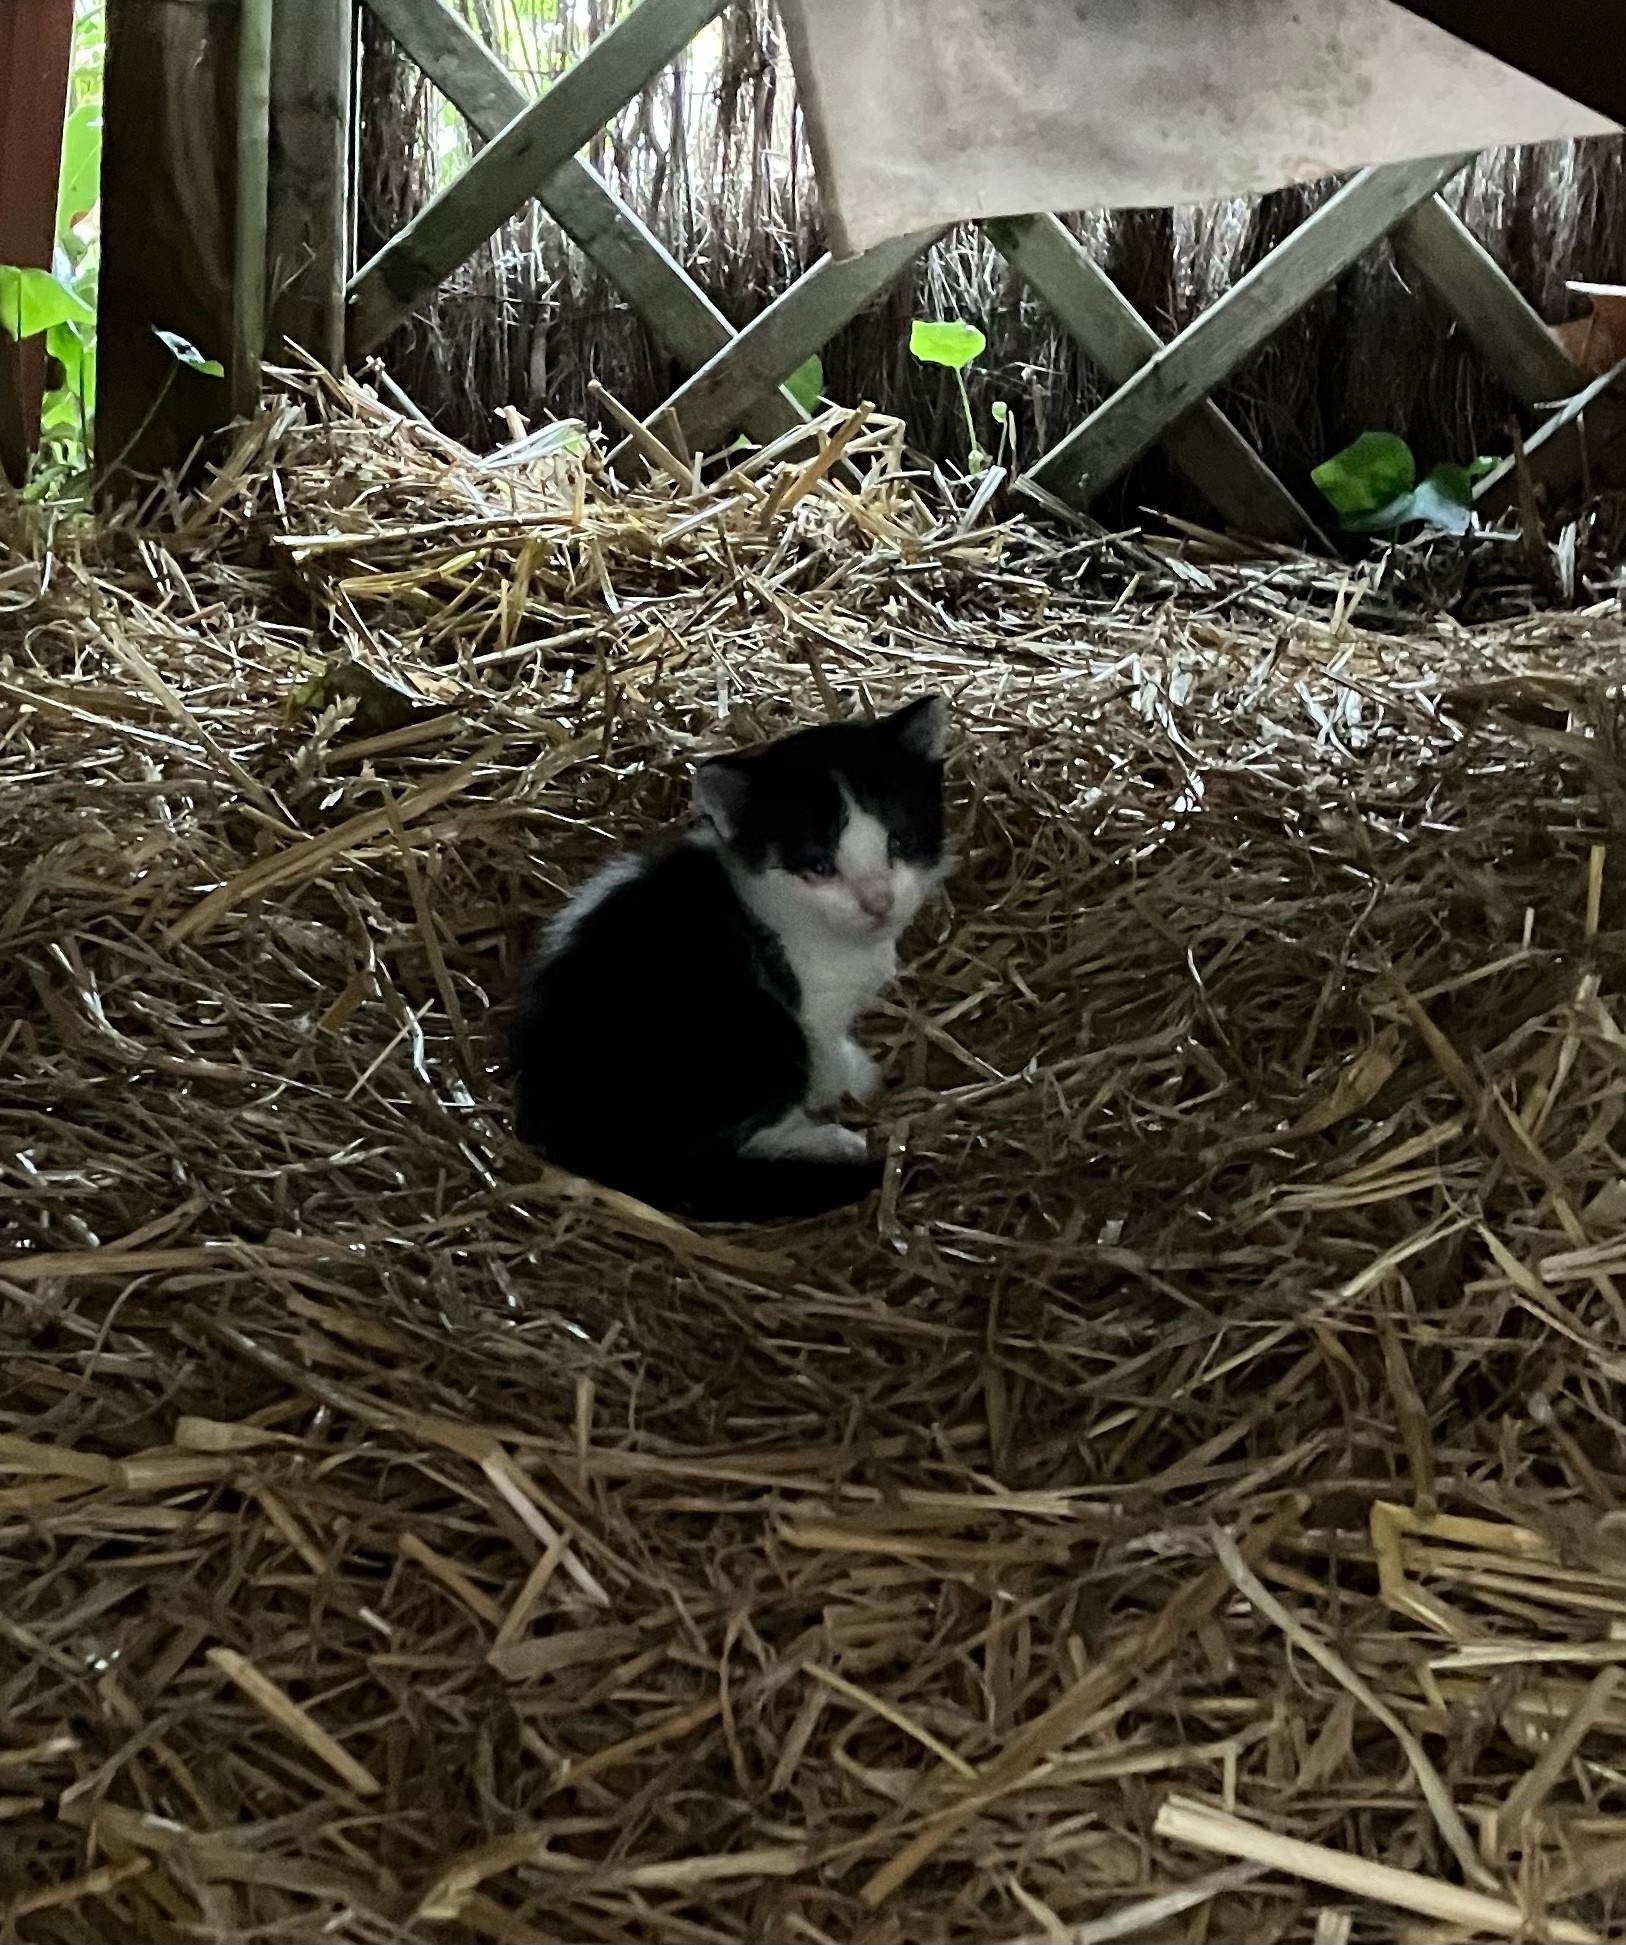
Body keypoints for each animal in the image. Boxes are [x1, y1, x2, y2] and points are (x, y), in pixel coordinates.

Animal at [509, 696, 953, 1213]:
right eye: (819, 866)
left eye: (898, 842)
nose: (878, 902)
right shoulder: (812, 1010)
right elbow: (825, 1052)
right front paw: (849, 1077)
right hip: (760, 1031)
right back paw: (825, 1141)